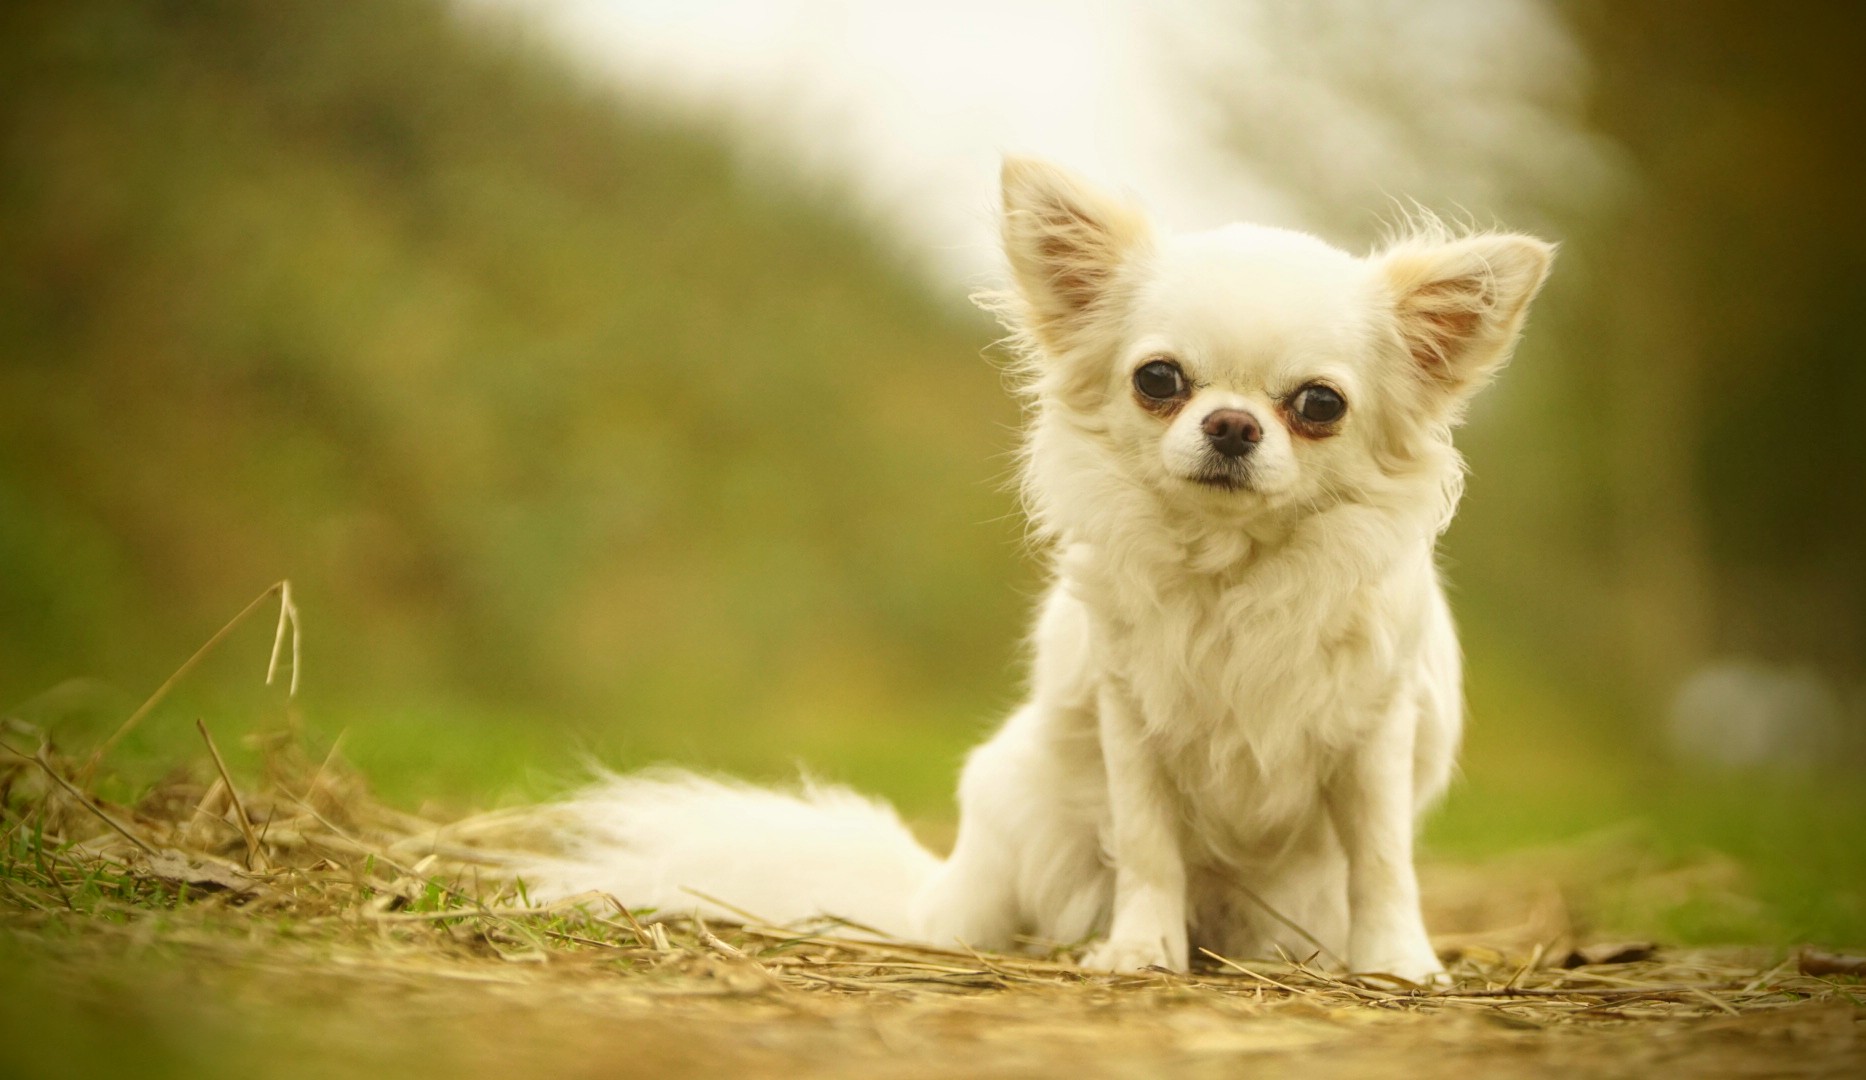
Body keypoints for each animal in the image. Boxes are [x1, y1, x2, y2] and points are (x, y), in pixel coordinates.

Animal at [512, 158, 1554, 984]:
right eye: (1160, 380)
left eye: (1319, 405)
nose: (1230, 424)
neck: (1231, 573)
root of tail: (938, 888)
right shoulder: (1133, 724)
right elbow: (1151, 849)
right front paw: (1140, 951)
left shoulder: (1372, 734)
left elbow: (1382, 861)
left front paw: (1400, 964)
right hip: (1020, 811)